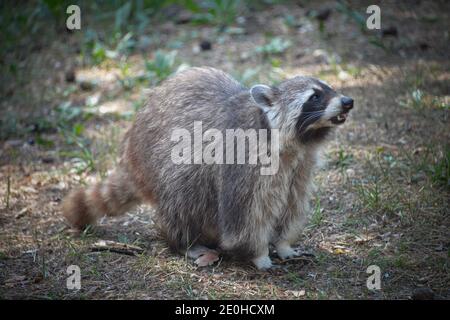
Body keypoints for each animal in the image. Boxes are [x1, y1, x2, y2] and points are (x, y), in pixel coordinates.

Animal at [61, 67, 354, 270]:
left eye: (330, 88)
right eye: (315, 96)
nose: (348, 101)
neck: (295, 142)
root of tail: (132, 155)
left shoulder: (301, 165)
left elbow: (292, 206)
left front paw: (283, 245)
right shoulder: (245, 161)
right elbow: (243, 217)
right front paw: (259, 254)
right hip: (162, 163)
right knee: (184, 195)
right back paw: (185, 242)